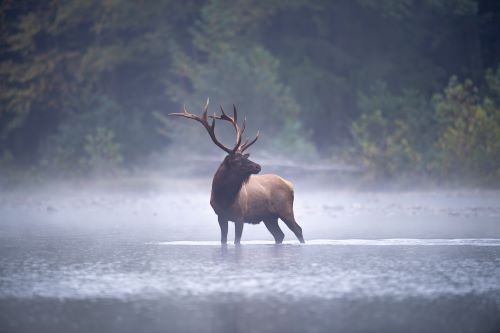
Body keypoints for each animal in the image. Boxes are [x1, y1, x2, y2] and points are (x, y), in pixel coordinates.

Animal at [170, 98, 304, 244]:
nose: (258, 166)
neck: (224, 198)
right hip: (268, 217)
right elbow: (223, 240)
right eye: (237, 161)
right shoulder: (221, 216)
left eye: (244, 158)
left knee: (298, 229)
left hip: (285, 210)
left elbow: (236, 241)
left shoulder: (240, 216)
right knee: (279, 235)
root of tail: (290, 185)